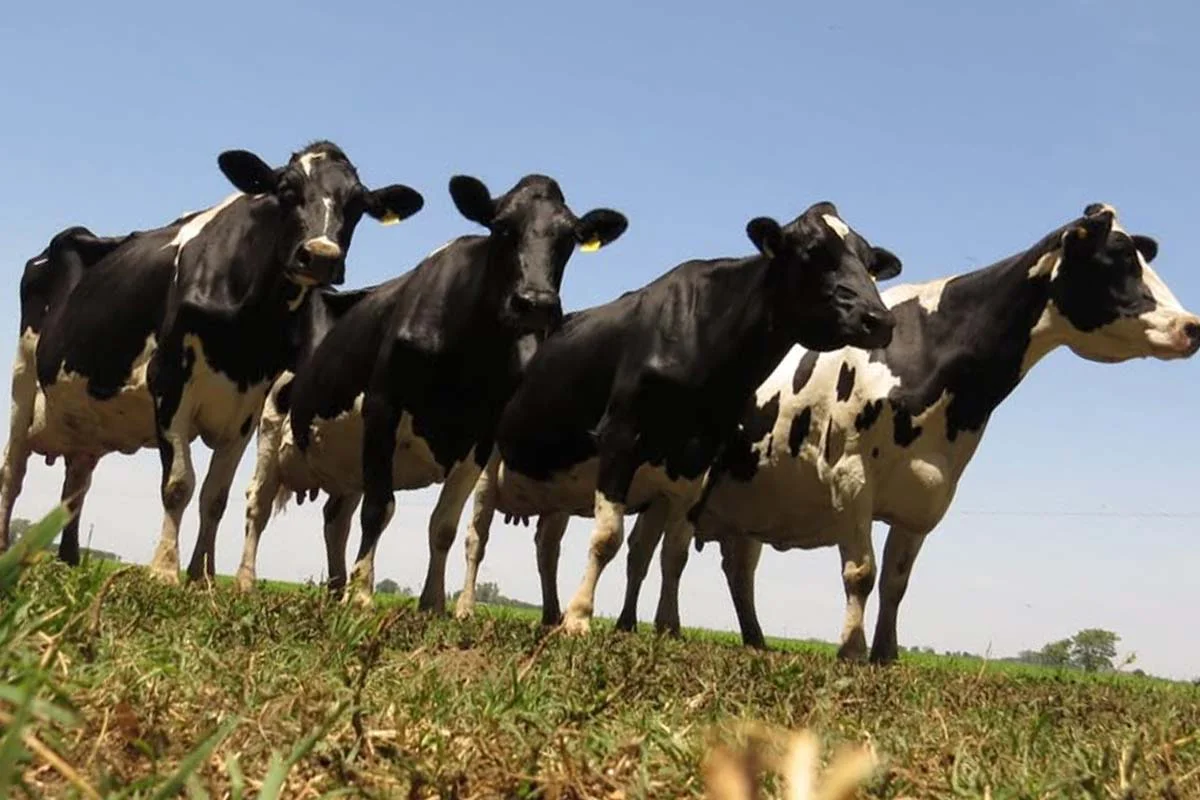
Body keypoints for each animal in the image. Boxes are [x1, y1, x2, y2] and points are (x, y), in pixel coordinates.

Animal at [0, 141, 425, 583]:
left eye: (357, 205)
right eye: (287, 190)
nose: (321, 255)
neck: (246, 331)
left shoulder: (247, 406)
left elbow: (215, 497)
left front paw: (200, 576)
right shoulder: (169, 380)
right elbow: (179, 484)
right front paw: (165, 569)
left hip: (85, 417)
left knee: (77, 478)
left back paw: (69, 558)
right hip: (23, 377)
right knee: (12, 471)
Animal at [240, 173, 628, 604]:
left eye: (570, 238)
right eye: (501, 226)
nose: (536, 302)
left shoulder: (480, 439)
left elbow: (443, 526)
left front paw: (432, 603)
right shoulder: (383, 408)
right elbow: (379, 508)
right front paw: (363, 596)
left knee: (335, 519)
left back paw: (336, 589)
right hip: (271, 424)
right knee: (258, 504)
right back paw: (248, 581)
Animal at [453, 201, 902, 634]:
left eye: (868, 262)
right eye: (813, 252)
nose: (879, 319)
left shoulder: (698, 461)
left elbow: (675, 554)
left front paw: (668, 626)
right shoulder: (619, 435)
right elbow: (607, 537)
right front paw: (579, 617)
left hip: (557, 480)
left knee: (547, 544)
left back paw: (549, 614)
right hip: (488, 460)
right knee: (477, 535)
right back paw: (465, 607)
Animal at [628, 202, 1199, 663]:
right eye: (1116, 259)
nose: (1191, 326)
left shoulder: (927, 493)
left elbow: (897, 582)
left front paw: (886, 654)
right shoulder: (851, 476)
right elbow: (861, 572)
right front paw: (851, 651)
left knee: (721, 563)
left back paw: (751, 640)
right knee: (671, 553)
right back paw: (664, 628)